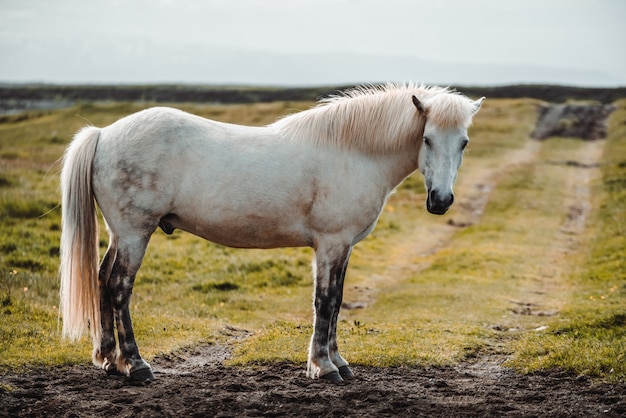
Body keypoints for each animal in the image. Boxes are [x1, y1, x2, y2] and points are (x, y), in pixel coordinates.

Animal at [59, 83, 482, 384]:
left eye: (463, 142)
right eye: (427, 139)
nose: (441, 200)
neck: (353, 153)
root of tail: (104, 134)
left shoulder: (343, 247)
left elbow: (337, 301)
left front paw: (338, 361)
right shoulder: (330, 243)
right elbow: (325, 301)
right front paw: (323, 367)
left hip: (120, 234)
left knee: (101, 279)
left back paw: (109, 360)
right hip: (134, 233)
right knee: (118, 286)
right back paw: (135, 365)